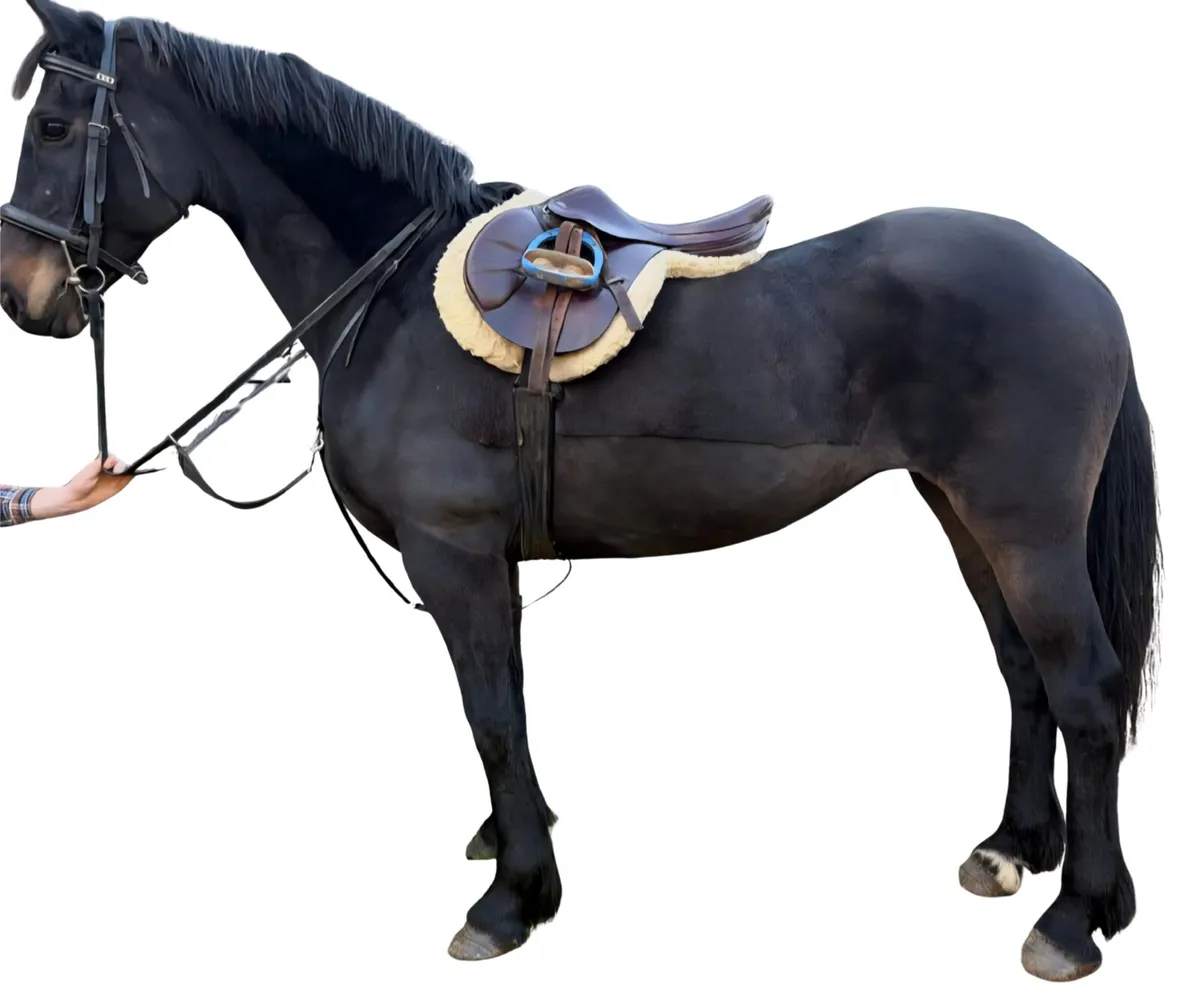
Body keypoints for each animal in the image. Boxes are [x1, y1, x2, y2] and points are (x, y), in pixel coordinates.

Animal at [0, 0, 1162, 982]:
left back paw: (1076, 914)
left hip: (1025, 527)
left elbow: (491, 714)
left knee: (1087, 688)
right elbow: (503, 707)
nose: (25, 294)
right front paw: (513, 843)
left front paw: (515, 895)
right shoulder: (484, 566)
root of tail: (1084, 281)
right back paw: (1012, 846)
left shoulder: (456, 554)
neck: (394, 299)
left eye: (54, 126)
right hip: (962, 512)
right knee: (1022, 673)